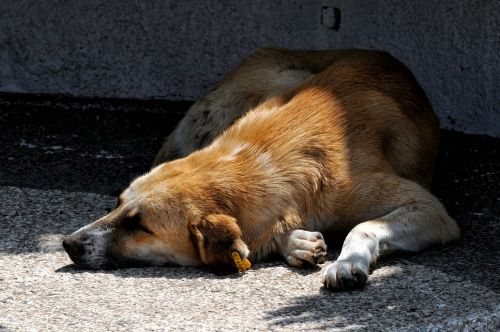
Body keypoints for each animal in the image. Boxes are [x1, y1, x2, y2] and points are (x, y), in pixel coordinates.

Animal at [60, 48, 458, 290]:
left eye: (139, 225)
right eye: (116, 203)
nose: (67, 243)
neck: (260, 158)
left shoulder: (432, 210)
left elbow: (363, 226)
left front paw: (348, 263)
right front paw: (293, 241)